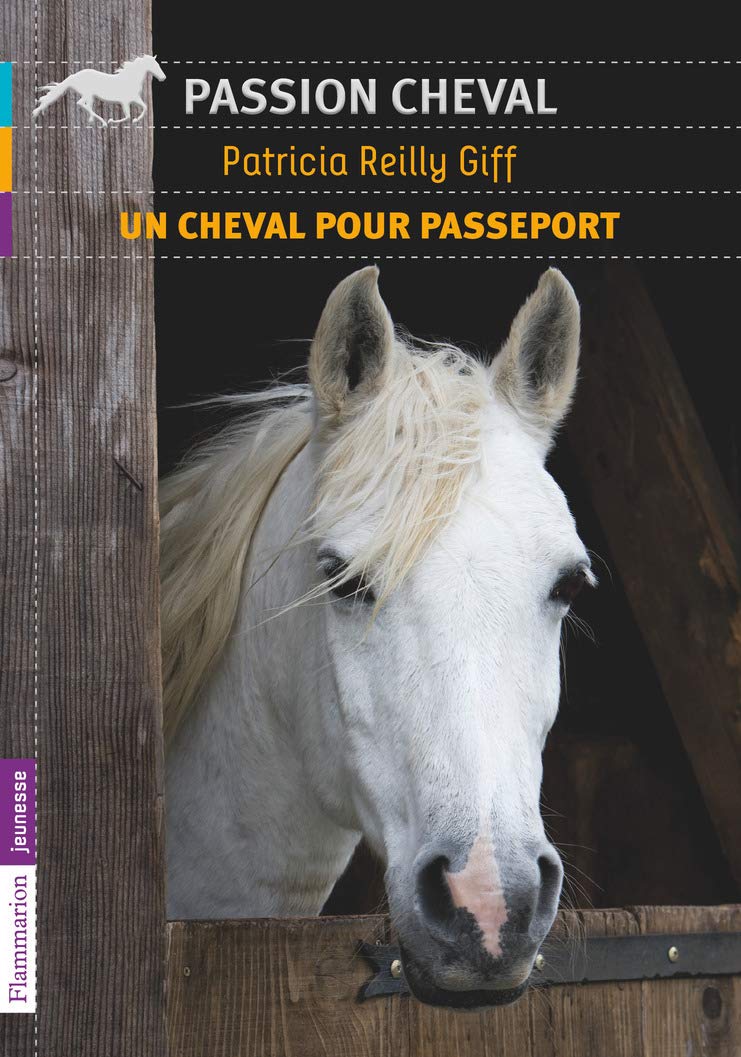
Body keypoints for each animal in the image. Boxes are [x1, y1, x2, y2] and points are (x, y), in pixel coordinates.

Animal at [33, 55, 165, 126]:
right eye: (155, 65)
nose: (163, 78)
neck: (130, 79)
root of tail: (74, 76)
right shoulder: (125, 101)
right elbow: (127, 116)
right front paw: (112, 121)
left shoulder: (134, 98)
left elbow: (144, 107)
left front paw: (136, 119)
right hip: (88, 94)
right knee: (81, 103)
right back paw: (103, 122)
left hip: (90, 96)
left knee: (86, 105)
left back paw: (93, 120)